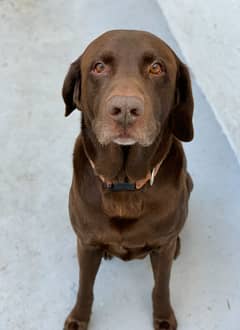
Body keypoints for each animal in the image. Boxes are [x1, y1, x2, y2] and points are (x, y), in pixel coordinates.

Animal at [61, 29, 193, 328]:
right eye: (99, 67)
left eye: (156, 68)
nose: (124, 109)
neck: (125, 184)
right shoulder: (86, 243)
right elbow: (85, 286)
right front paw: (79, 317)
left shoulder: (162, 248)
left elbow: (161, 286)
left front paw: (163, 316)